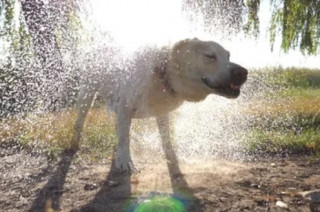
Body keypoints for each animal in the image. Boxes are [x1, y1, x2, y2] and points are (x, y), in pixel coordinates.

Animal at [72, 37, 248, 171]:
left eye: (228, 56)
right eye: (210, 56)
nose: (243, 72)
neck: (163, 74)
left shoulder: (162, 112)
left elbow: (166, 136)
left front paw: (171, 155)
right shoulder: (125, 106)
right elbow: (124, 138)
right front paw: (125, 161)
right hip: (86, 94)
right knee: (80, 122)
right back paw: (74, 144)